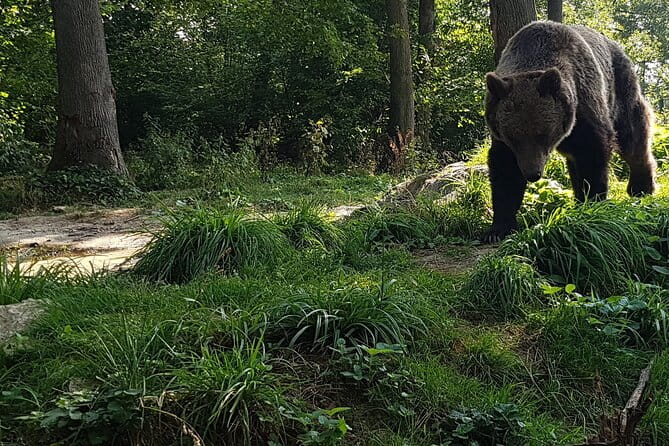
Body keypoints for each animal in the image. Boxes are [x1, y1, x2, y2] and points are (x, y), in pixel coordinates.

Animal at [483, 21, 657, 243]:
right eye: (513, 137)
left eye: (542, 134)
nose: (532, 173)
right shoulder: (503, 134)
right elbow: (504, 171)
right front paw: (498, 228)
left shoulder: (584, 108)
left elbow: (593, 156)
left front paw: (594, 204)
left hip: (620, 89)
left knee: (633, 137)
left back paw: (641, 188)